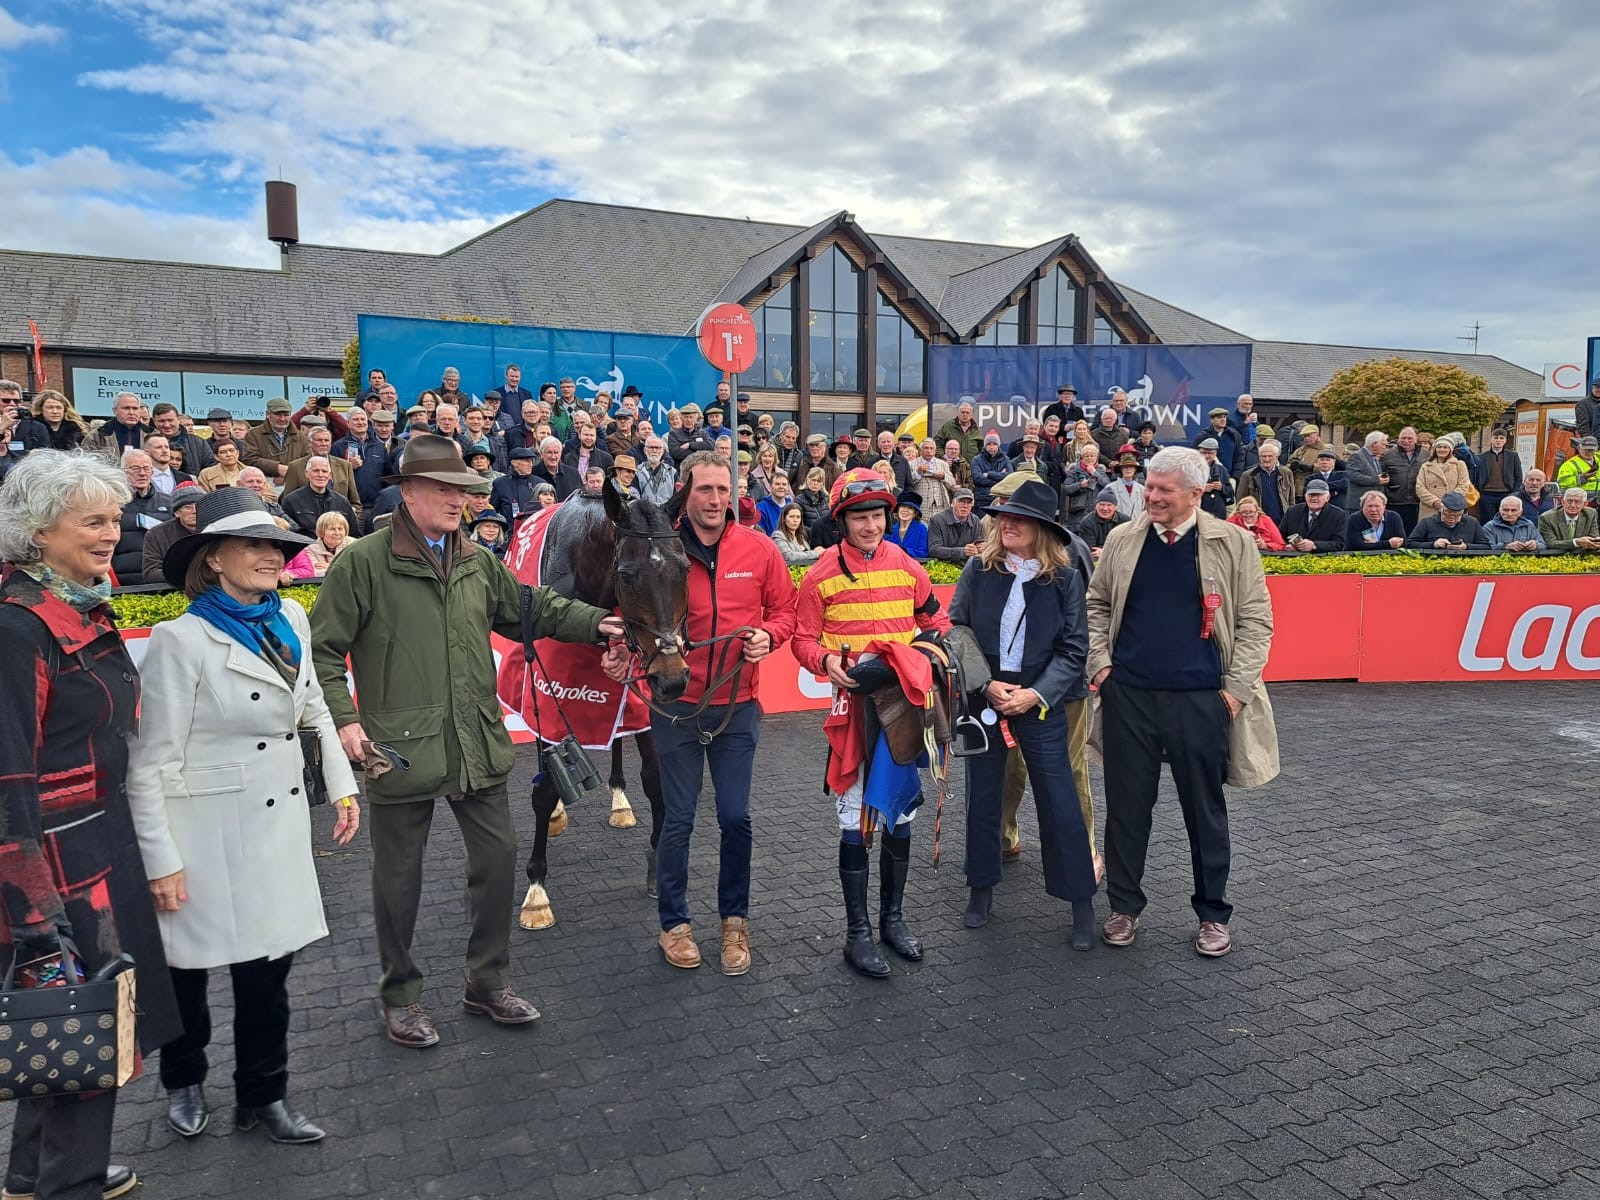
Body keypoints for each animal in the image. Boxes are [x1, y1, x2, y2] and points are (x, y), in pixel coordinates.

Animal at [512, 486, 688, 928]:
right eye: (626, 574)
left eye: (684, 569)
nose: (673, 678)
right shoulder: (547, 691)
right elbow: (543, 789)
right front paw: (536, 892)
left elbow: (654, 780)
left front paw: (658, 863)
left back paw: (619, 798)